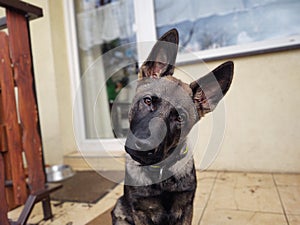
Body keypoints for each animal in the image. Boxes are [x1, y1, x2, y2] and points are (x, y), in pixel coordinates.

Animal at [111, 29, 233, 225]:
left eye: (180, 118)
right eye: (148, 101)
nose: (145, 147)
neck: (160, 173)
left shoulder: (185, 209)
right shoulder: (140, 211)